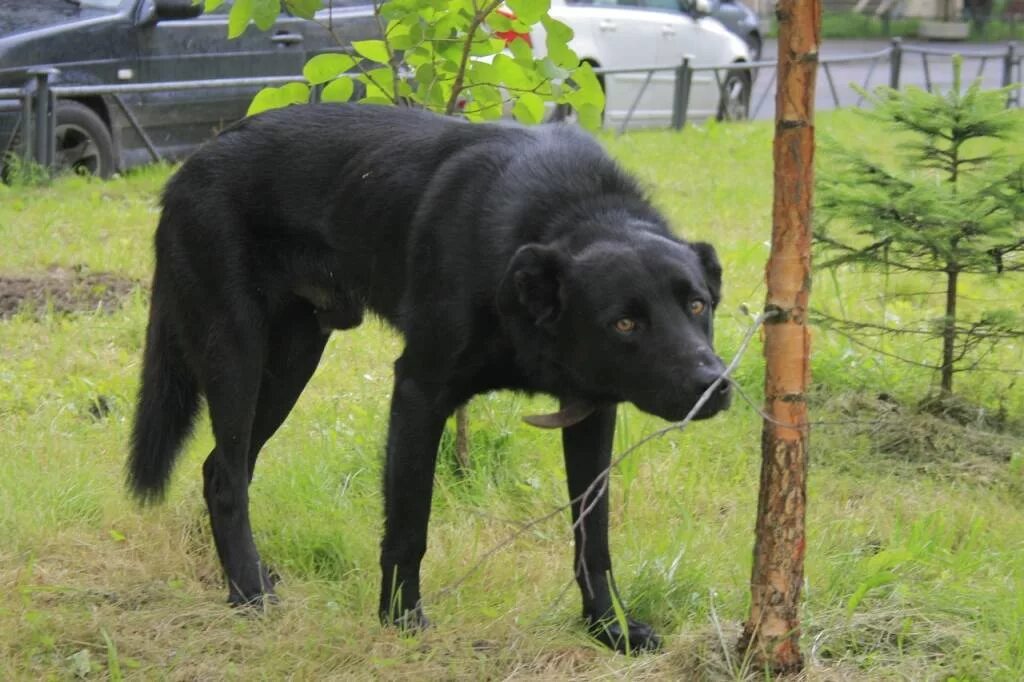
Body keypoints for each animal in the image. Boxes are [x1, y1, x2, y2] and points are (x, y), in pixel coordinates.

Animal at [128, 102, 733, 655]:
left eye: (697, 305)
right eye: (625, 322)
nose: (714, 385)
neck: (568, 213)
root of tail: (188, 167)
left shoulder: (591, 412)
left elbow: (595, 534)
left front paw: (608, 629)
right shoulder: (420, 392)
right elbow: (408, 526)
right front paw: (400, 623)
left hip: (292, 361)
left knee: (223, 467)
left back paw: (249, 576)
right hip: (237, 351)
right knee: (228, 477)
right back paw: (250, 594)